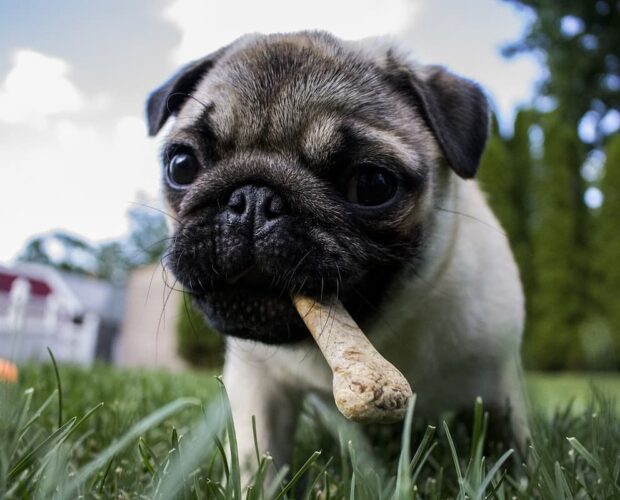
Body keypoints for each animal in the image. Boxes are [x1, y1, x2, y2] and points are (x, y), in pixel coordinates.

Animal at [145, 32, 528, 472]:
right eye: (182, 165)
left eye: (373, 185)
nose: (253, 199)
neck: (380, 332)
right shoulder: (258, 384)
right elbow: (255, 457)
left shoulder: (501, 382)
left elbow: (516, 446)